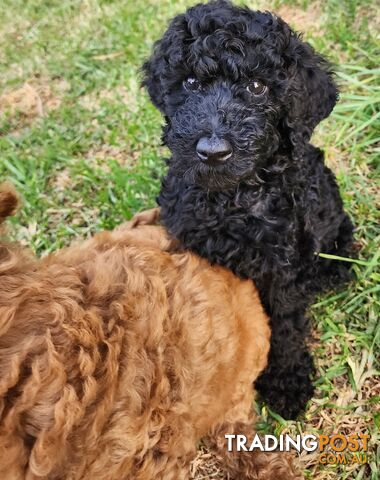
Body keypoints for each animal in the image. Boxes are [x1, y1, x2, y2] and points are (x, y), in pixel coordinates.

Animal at [142, 0, 354, 420]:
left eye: (257, 87)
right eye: (190, 83)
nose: (212, 151)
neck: (231, 199)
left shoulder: (284, 264)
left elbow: (286, 324)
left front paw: (287, 382)